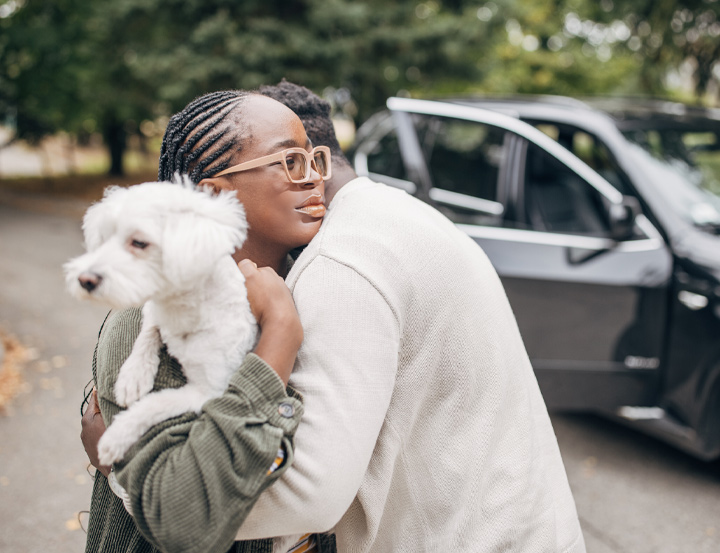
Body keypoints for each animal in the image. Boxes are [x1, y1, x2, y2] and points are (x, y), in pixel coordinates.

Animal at [64, 179, 256, 464]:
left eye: (139, 242)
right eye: (105, 239)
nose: (84, 280)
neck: (183, 310)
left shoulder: (208, 390)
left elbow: (155, 404)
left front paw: (117, 435)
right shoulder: (153, 309)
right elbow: (149, 331)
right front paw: (133, 375)